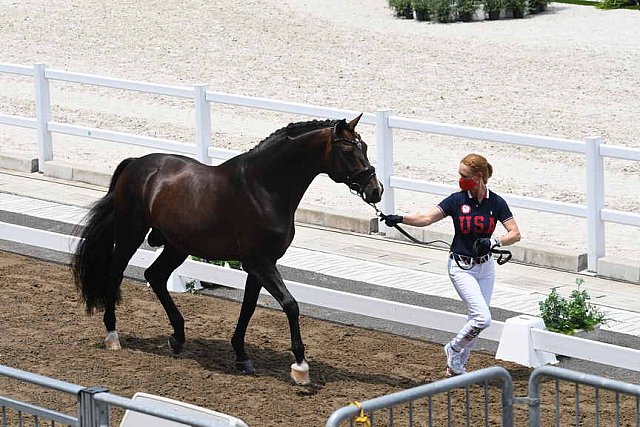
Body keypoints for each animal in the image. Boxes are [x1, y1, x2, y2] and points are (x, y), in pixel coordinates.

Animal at [71, 115, 380, 386]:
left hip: (177, 246)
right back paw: (113, 335)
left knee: (155, 276)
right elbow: (290, 305)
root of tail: (137, 164)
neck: (263, 187)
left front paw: (242, 357)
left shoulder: (259, 265)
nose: (375, 191)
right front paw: (300, 367)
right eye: (348, 150)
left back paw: (177, 337)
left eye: (364, 147)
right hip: (130, 234)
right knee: (115, 274)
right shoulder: (260, 262)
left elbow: (248, 308)